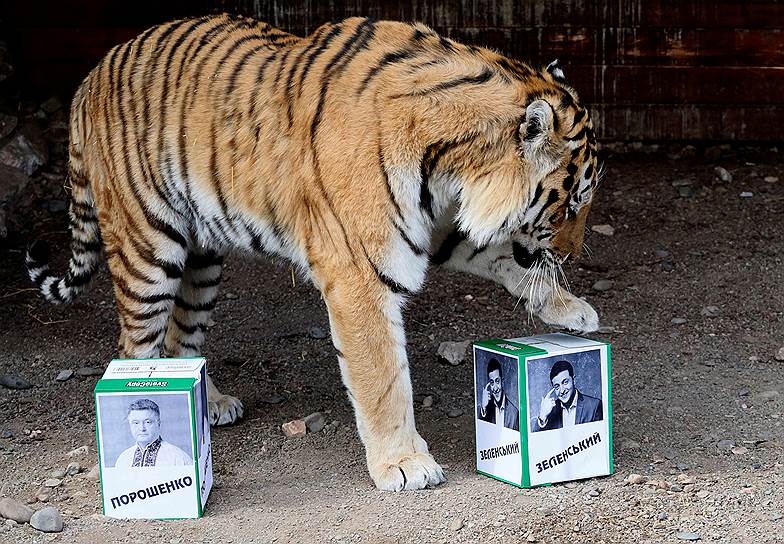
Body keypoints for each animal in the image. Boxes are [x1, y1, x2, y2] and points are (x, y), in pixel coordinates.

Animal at [24, 12, 600, 490]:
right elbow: (383, 380)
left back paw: (210, 407)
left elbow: (503, 256)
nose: (574, 253)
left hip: (202, 261)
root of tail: (88, 78)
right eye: (570, 204)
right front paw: (404, 464)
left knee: (179, 340)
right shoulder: (360, 274)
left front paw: (570, 310)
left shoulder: (437, 228)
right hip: (148, 251)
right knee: (135, 345)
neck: (452, 167)